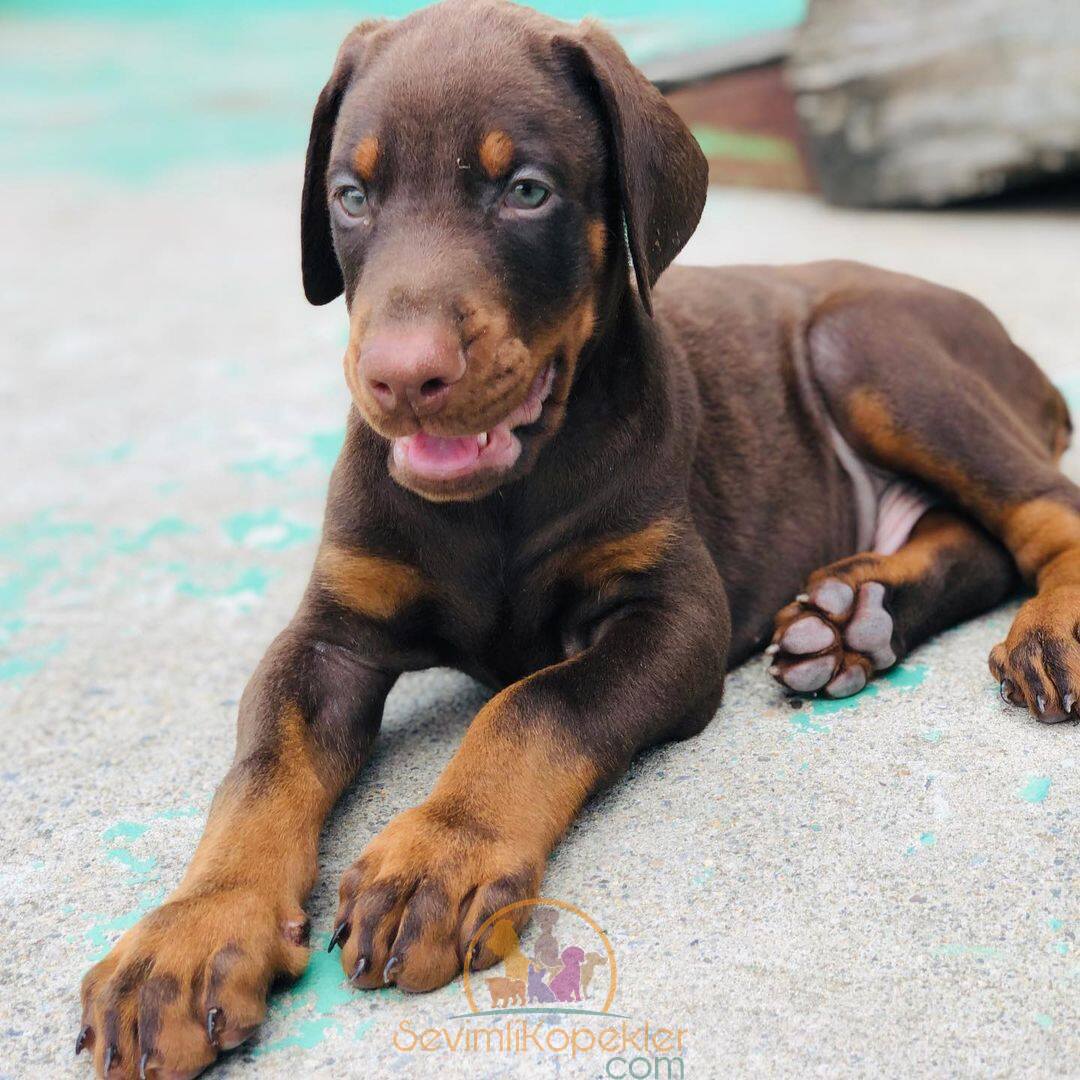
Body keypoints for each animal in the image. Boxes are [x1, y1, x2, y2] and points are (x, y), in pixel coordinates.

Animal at [78, 0, 1071, 1075]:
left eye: (526, 191)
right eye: (351, 195)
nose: (400, 376)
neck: (498, 498)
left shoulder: (669, 613)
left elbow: (535, 704)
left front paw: (442, 850)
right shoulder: (330, 633)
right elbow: (262, 766)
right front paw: (186, 939)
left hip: (864, 342)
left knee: (1045, 509)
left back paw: (1045, 629)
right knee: (980, 542)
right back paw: (855, 619)